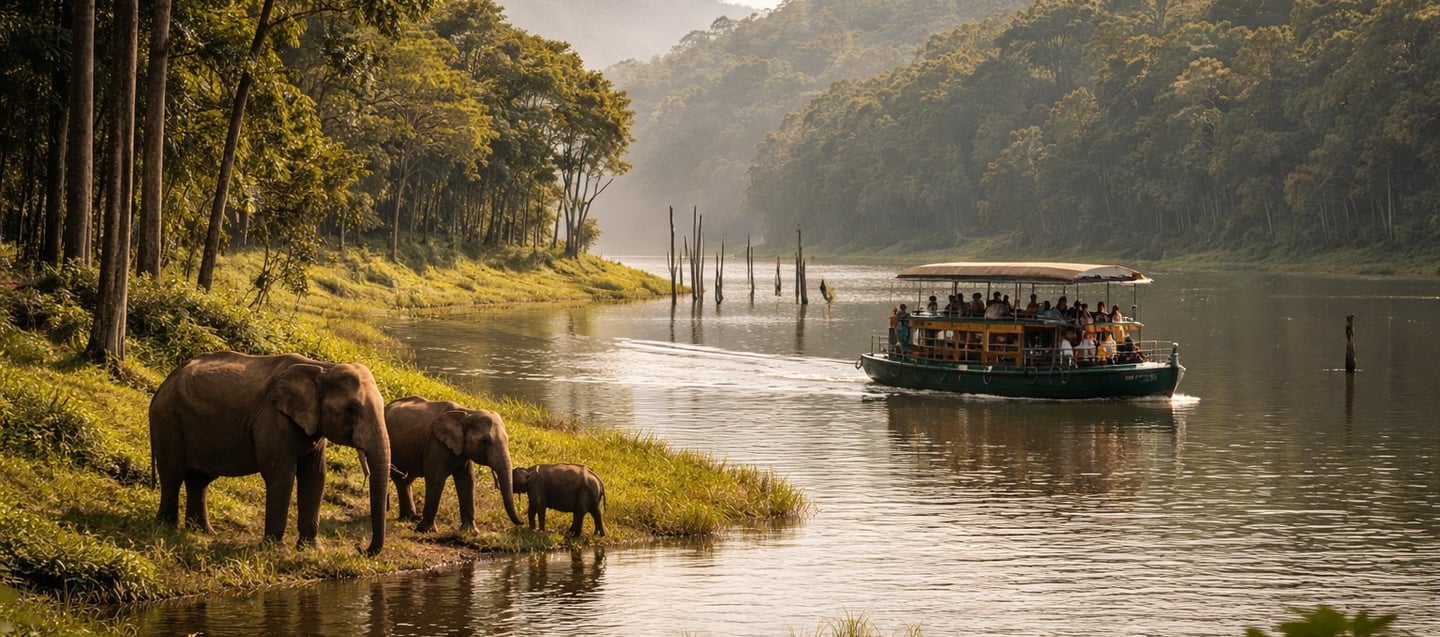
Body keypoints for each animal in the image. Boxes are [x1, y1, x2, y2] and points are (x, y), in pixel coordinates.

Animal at [148, 351, 391, 555]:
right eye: (351, 410)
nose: (360, 548)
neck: (322, 368)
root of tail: (163, 384)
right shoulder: (272, 419)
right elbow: (281, 474)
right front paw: (278, 551)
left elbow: (315, 477)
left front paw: (312, 550)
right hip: (168, 420)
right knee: (173, 473)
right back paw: (167, 529)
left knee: (199, 479)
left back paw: (202, 532)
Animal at [383, 396, 523, 533]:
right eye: (484, 441)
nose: (522, 522)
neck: (468, 412)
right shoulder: (436, 444)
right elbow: (436, 480)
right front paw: (425, 530)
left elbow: (467, 481)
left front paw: (471, 532)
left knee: (403, 481)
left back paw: (410, 518)